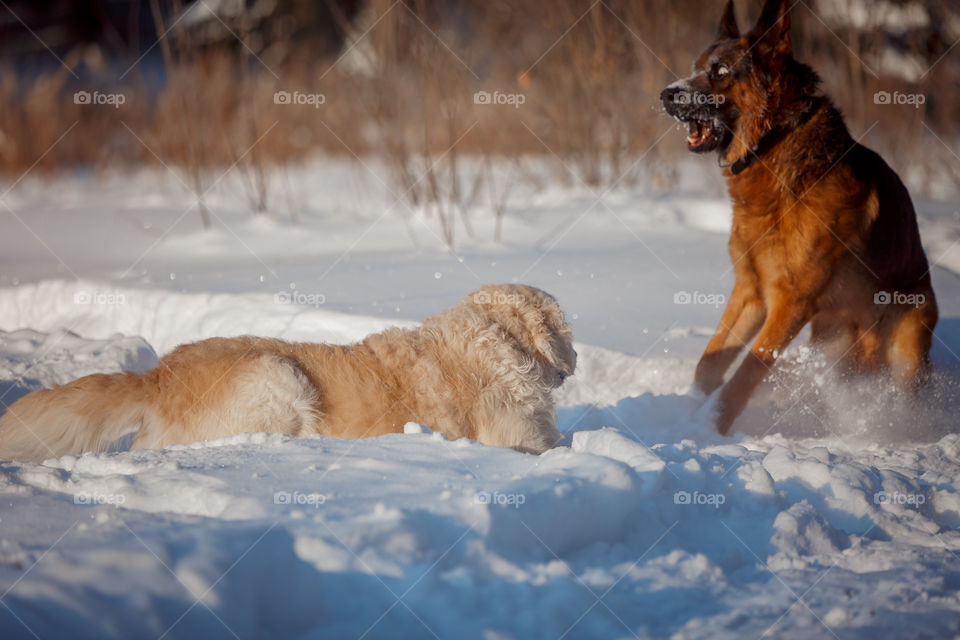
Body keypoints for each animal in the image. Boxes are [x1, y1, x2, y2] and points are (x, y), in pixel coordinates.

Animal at [660, 0, 936, 436]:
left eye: (720, 71)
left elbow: (746, 373)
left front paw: (710, 429)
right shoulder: (751, 291)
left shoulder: (791, 303)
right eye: (696, 66)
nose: (666, 95)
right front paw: (688, 415)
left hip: (907, 341)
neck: (772, 141)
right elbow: (710, 364)